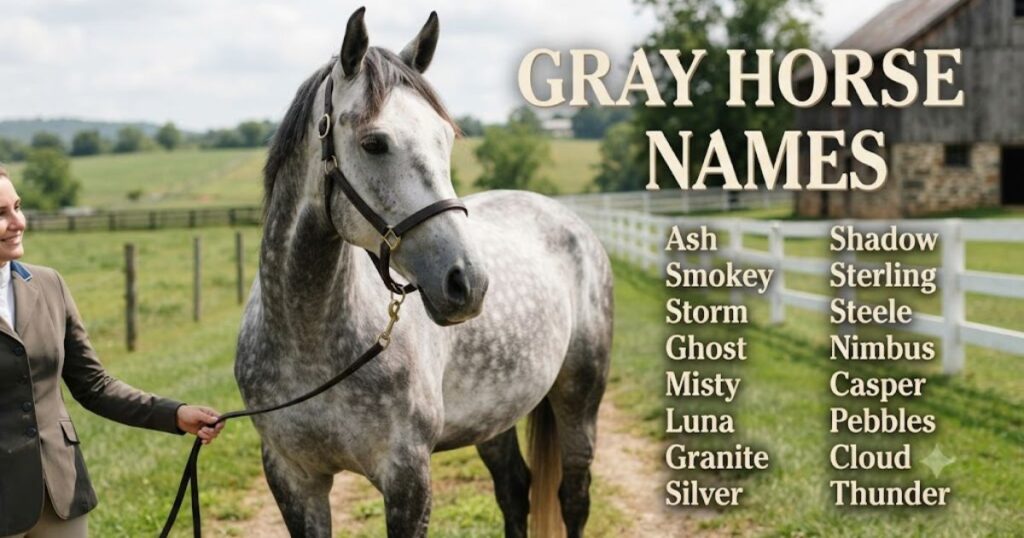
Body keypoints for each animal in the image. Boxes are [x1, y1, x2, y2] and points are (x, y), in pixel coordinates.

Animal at [234, 8, 613, 537]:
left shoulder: (408, 477)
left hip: (580, 397)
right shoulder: (292, 478)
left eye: (445, 139)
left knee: (573, 497)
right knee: (514, 489)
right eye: (374, 143)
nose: (468, 282)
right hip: (494, 415)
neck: (308, 342)